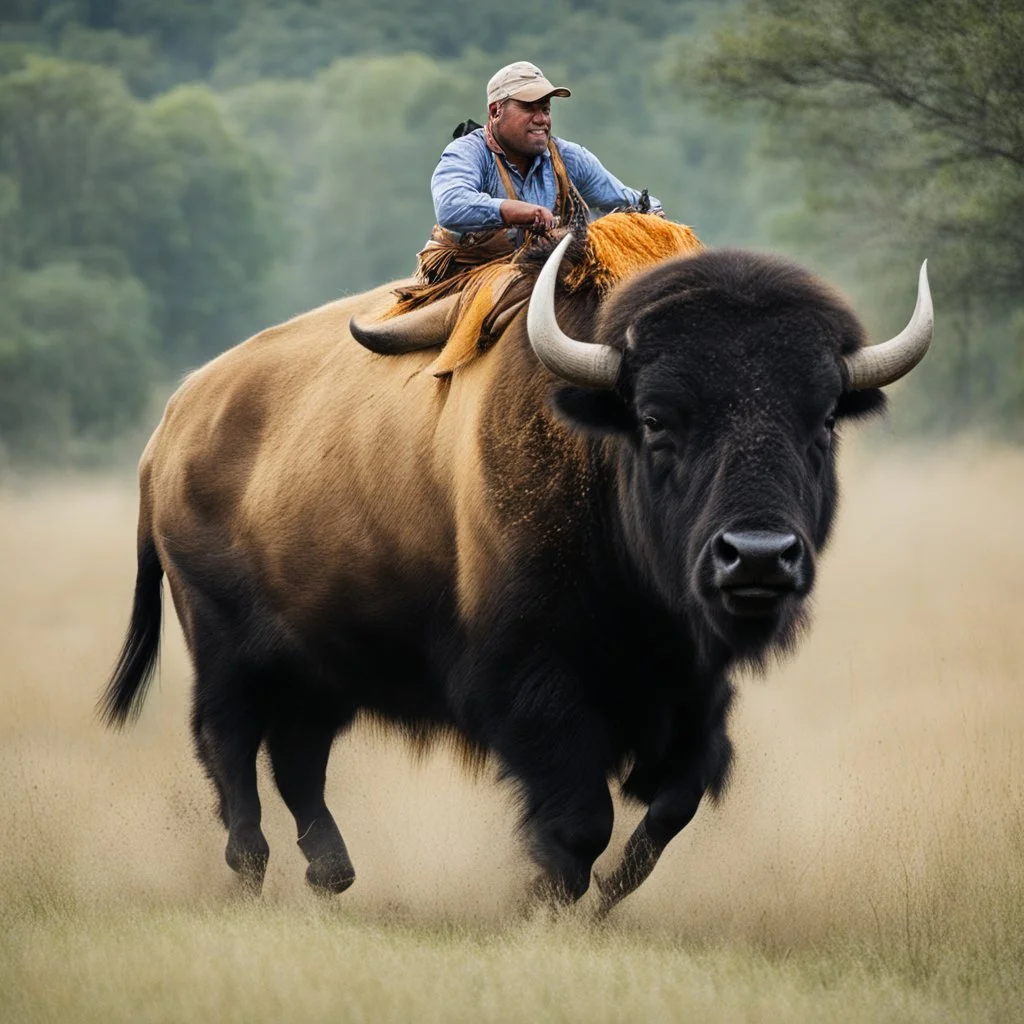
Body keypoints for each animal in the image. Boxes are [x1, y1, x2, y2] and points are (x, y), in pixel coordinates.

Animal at [99, 224, 933, 913]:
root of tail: (172, 427)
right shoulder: (534, 679)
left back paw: (331, 875)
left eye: (822, 422)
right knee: (230, 747)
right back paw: (251, 869)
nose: (756, 557)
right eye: (657, 421)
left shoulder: (693, 686)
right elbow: (581, 817)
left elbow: (671, 806)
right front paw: (540, 897)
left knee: (298, 757)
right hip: (225, 649)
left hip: (322, 662)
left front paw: (600, 898)